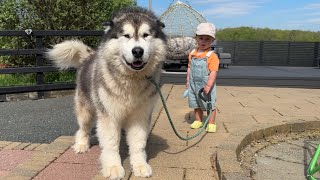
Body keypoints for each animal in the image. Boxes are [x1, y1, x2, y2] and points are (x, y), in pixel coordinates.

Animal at [48, 6, 168, 179]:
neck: (131, 80)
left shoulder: (140, 115)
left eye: (146, 35)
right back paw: (81, 144)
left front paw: (140, 165)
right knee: (83, 128)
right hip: (86, 109)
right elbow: (111, 143)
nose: (138, 51)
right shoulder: (109, 115)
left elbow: (138, 143)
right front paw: (113, 167)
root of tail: (89, 56)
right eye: (126, 36)